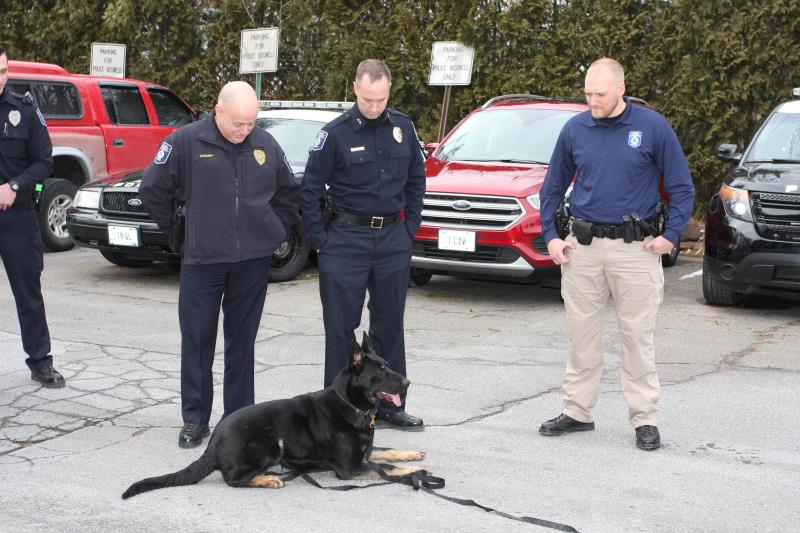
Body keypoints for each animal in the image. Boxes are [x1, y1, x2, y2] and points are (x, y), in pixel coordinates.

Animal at [123, 330, 424, 496]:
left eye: (388, 364)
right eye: (381, 371)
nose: (409, 382)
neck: (350, 404)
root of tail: (213, 445)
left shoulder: (365, 454)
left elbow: (389, 451)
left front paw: (412, 455)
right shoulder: (352, 468)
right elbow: (386, 467)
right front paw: (416, 471)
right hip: (270, 443)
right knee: (233, 479)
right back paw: (268, 479)